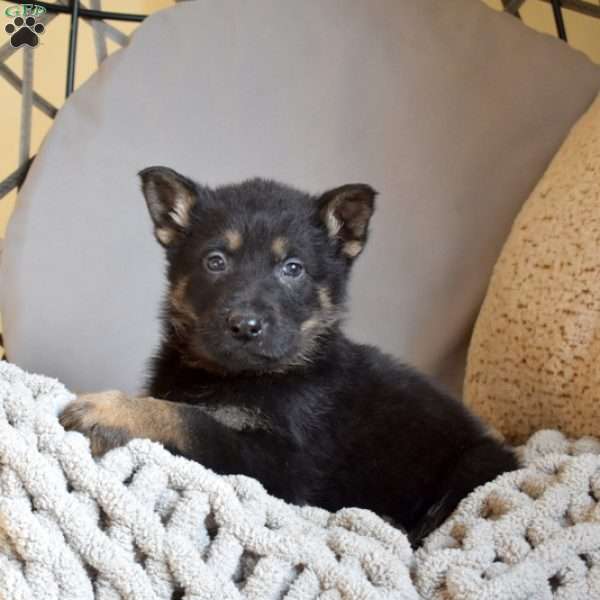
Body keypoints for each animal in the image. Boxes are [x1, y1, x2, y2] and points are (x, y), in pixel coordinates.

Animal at [62, 168, 520, 544]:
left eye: (293, 268)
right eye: (215, 261)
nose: (245, 326)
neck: (234, 376)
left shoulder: (284, 467)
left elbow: (193, 421)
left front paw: (113, 409)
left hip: (476, 462)